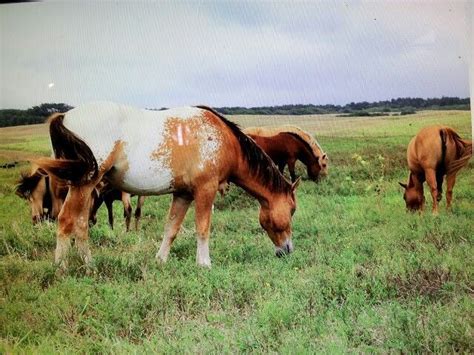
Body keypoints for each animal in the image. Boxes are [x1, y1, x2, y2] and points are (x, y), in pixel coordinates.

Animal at [36, 102, 300, 270]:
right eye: (292, 210)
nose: (288, 250)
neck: (224, 140)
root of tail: (64, 116)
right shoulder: (206, 190)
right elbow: (202, 228)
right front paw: (204, 264)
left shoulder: (183, 194)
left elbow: (171, 228)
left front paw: (160, 260)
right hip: (84, 184)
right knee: (67, 220)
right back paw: (61, 269)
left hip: (85, 188)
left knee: (80, 224)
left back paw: (89, 266)